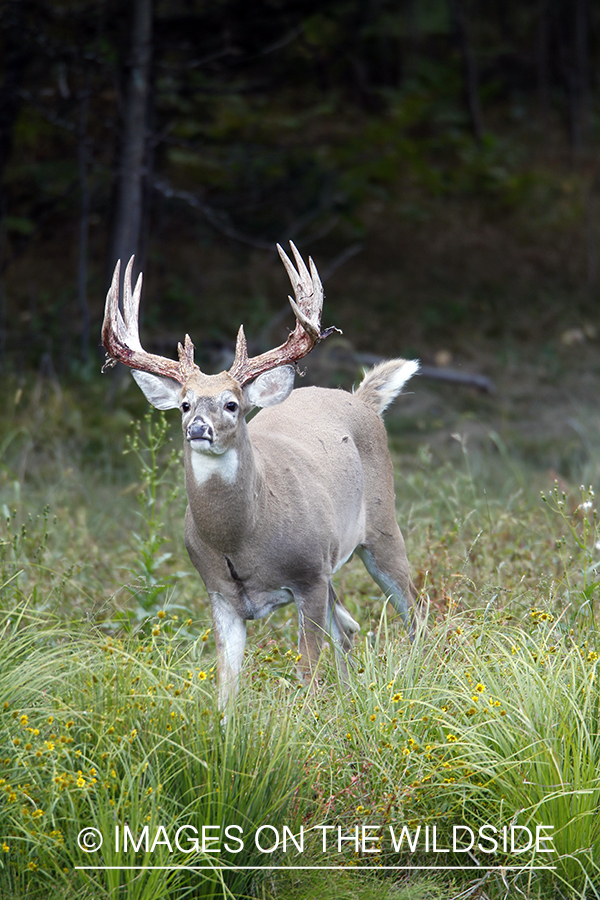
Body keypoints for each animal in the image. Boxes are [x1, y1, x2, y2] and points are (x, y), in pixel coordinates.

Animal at [102, 243, 422, 708]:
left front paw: (308, 720)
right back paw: (352, 700)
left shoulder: (309, 576)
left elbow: (307, 671)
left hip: (381, 528)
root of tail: (361, 399)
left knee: (415, 612)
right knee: (347, 631)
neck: (243, 537)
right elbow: (226, 687)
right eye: (185, 404)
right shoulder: (220, 593)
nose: (198, 428)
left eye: (232, 403)